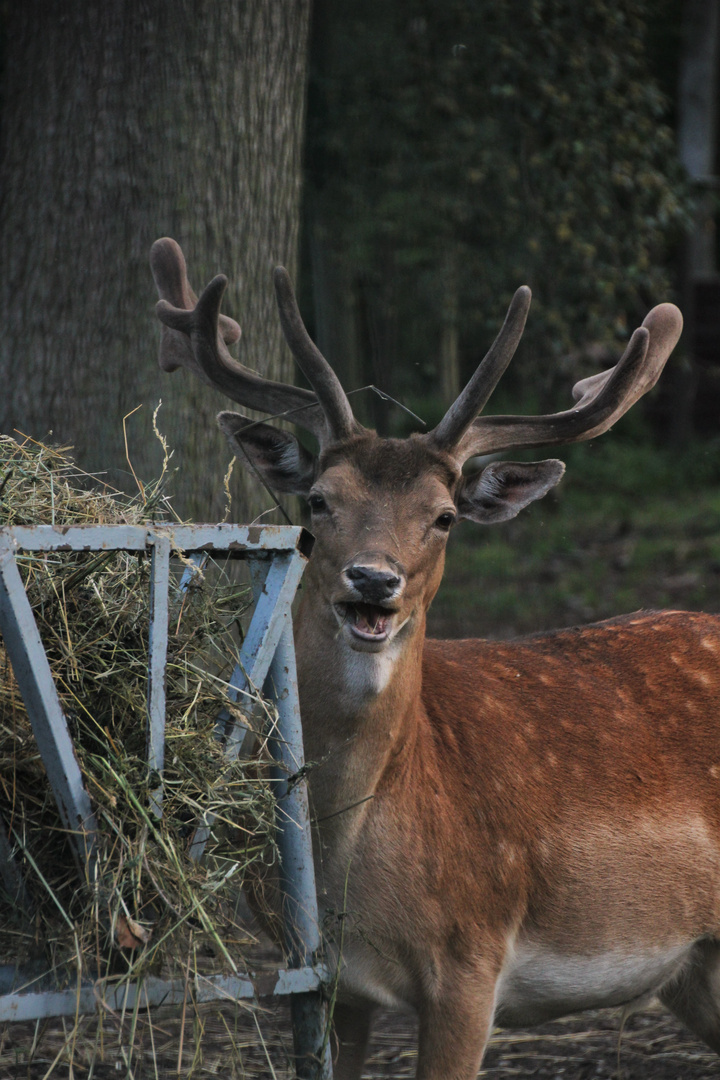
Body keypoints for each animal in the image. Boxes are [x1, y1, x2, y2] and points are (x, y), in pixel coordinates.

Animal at [148, 238, 720, 1080]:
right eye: (318, 500)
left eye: (445, 516)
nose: (373, 580)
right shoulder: (322, 979)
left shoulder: (472, 958)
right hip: (697, 970)